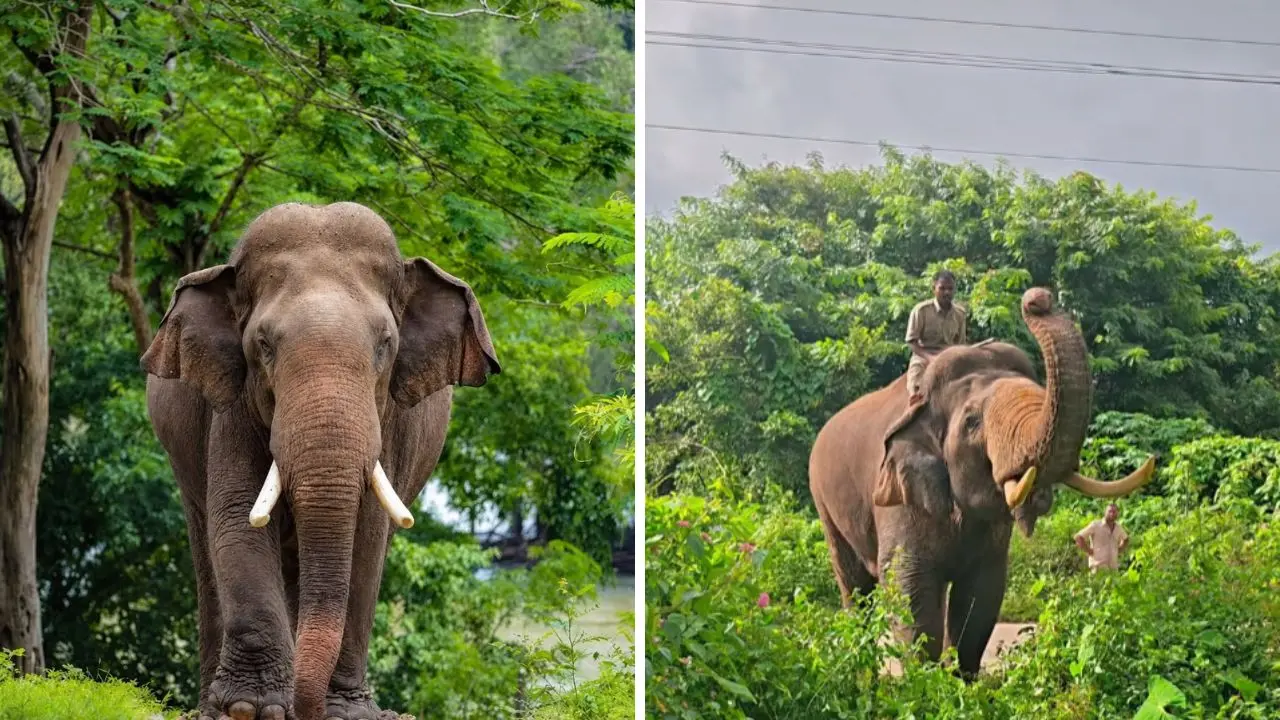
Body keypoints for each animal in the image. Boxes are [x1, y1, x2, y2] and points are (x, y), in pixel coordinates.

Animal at [141, 202, 499, 720]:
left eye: (385, 344)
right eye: (264, 345)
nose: (302, 707)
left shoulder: (390, 420)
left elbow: (366, 536)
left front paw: (343, 712)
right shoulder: (231, 404)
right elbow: (237, 519)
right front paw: (254, 710)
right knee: (206, 548)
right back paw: (212, 707)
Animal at [808, 287, 1154, 678]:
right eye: (972, 422)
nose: (1038, 298)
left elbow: (981, 594)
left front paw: (960, 682)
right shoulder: (899, 497)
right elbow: (909, 585)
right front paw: (925, 684)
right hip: (824, 501)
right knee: (854, 586)